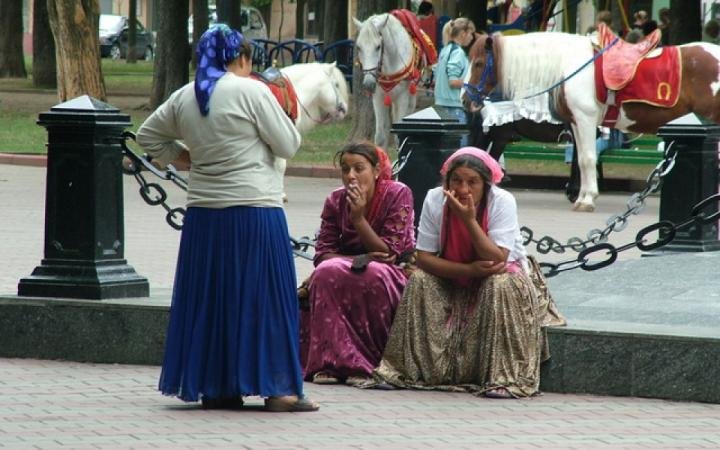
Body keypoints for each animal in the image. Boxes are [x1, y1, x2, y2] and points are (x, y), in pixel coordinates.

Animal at [352, 12, 420, 148]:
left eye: (378, 47)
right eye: (359, 47)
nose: (368, 84)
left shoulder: (402, 97)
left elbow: (399, 136)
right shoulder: (378, 98)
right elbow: (380, 136)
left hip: (410, 96)